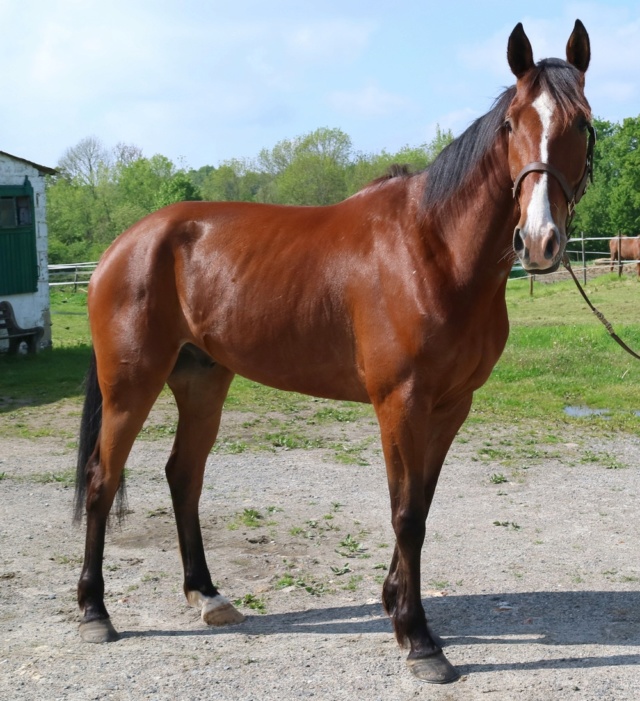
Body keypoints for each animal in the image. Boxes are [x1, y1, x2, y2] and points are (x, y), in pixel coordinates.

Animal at [75, 21, 596, 684]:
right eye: (511, 124)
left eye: (581, 123)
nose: (539, 240)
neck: (432, 249)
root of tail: (123, 246)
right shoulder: (400, 403)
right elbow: (406, 514)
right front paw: (419, 640)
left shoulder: (451, 406)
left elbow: (421, 505)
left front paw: (395, 605)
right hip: (130, 384)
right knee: (103, 479)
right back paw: (95, 611)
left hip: (202, 381)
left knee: (183, 476)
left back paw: (208, 596)